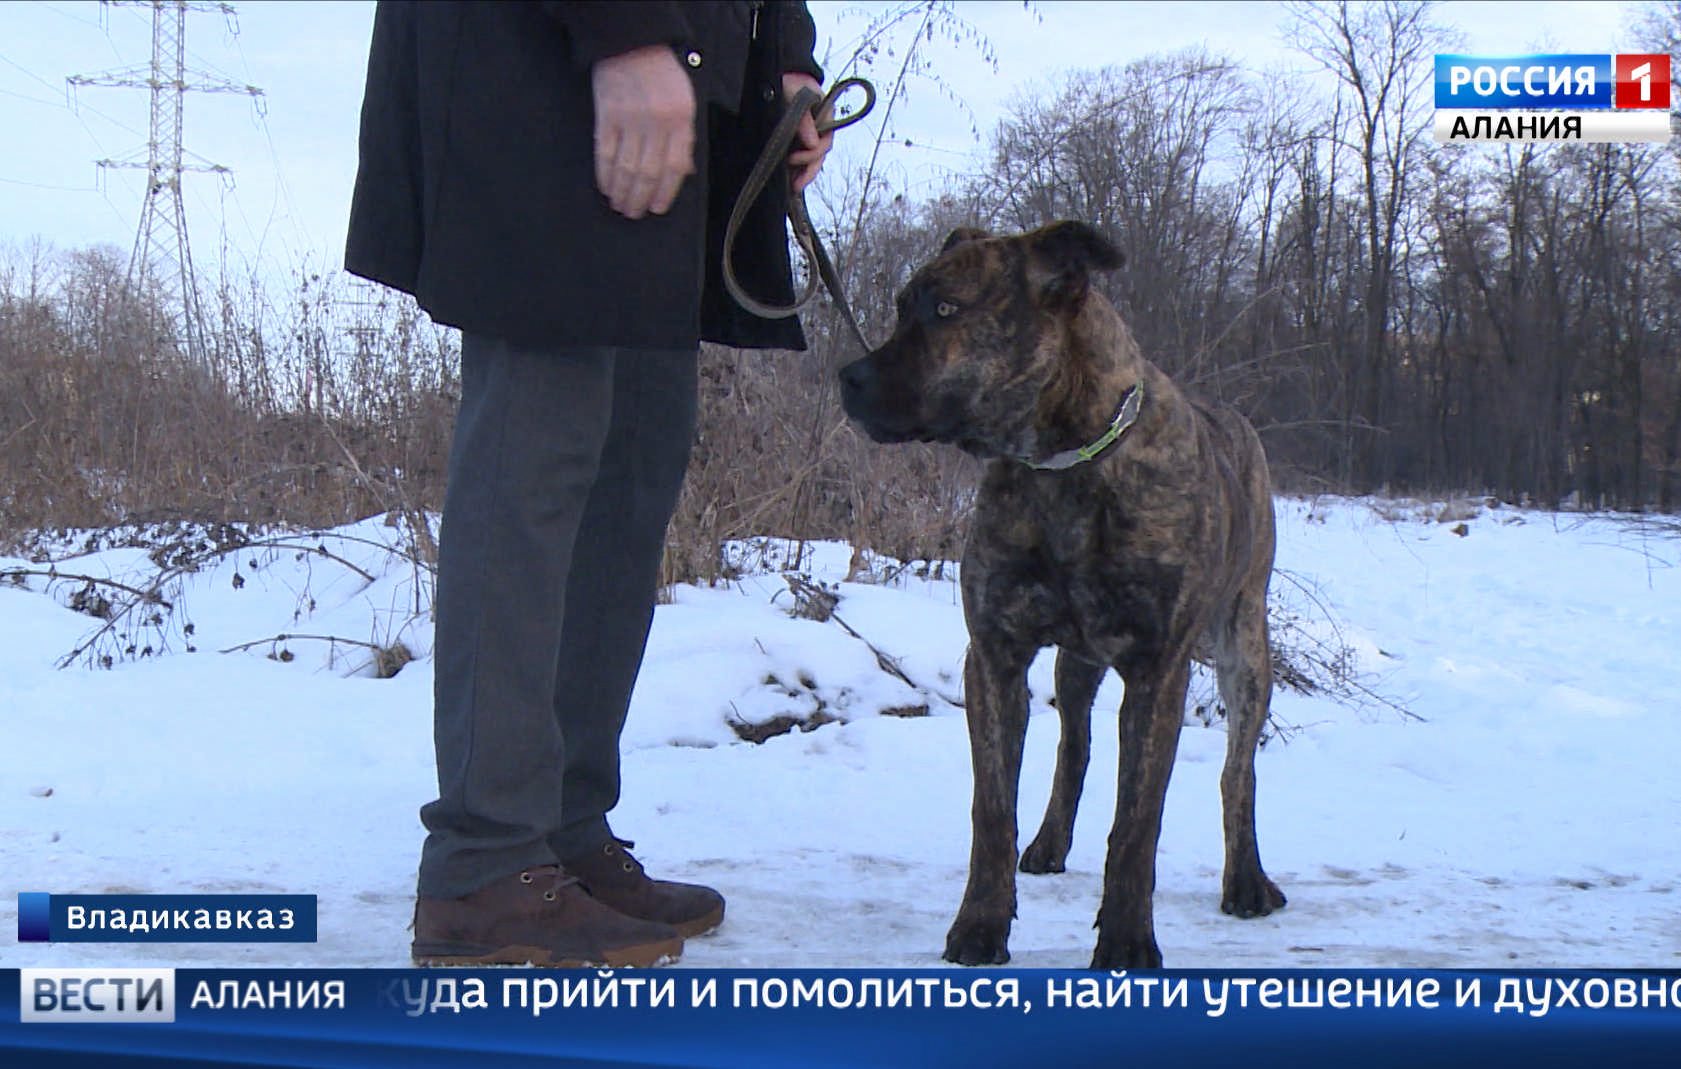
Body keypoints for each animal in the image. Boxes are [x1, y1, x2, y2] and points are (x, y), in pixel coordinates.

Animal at [840, 216, 1284, 968]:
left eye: (945, 310)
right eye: (902, 306)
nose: (847, 377)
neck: (1063, 464)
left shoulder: (1157, 673)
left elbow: (1137, 824)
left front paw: (1128, 938)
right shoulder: (995, 655)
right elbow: (992, 808)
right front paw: (980, 924)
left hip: (1244, 642)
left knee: (1239, 769)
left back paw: (1246, 879)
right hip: (1076, 660)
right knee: (1073, 744)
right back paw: (1048, 843)